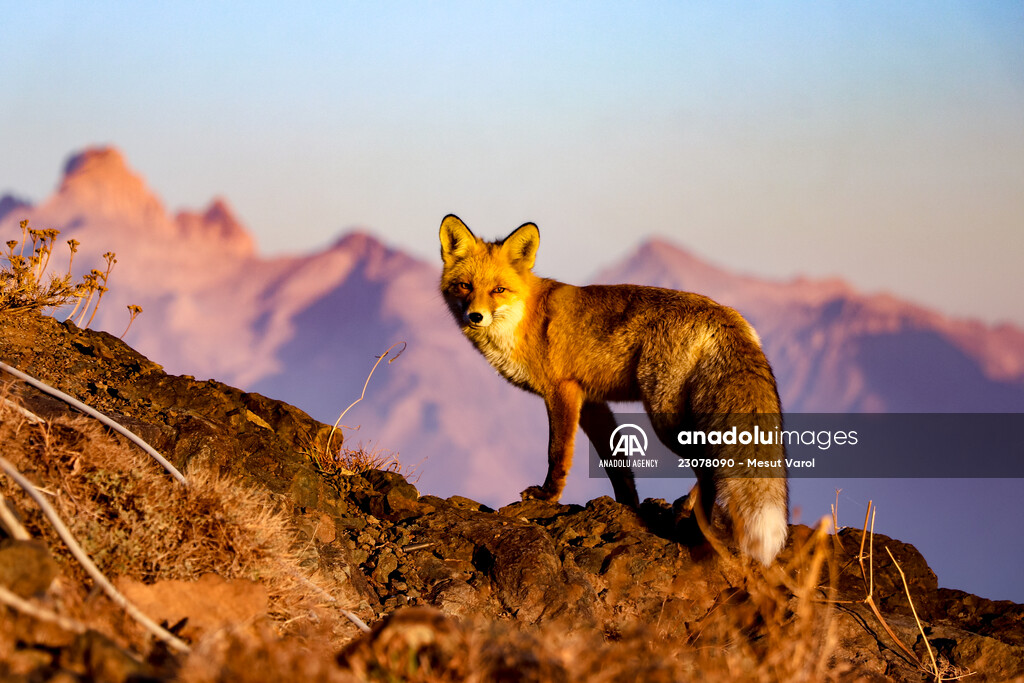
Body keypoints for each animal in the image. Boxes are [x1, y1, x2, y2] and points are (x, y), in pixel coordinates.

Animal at [438, 215, 789, 565]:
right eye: (465, 286)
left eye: (498, 290)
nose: (475, 316)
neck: (524, 319)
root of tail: (724, 313)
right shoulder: (592, 402)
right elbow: (616, 463)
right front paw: (627, 507)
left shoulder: (561, 391)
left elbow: (557, 453)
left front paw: (547, 496)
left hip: (665, 417)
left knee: (710, 463)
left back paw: (694, 521)